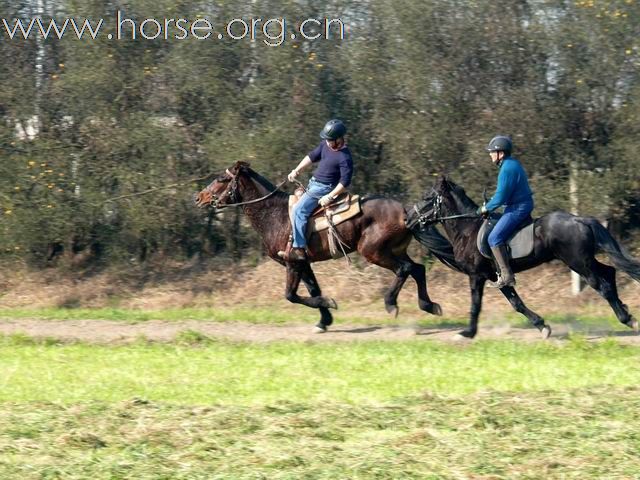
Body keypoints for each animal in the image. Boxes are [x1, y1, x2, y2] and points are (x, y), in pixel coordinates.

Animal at [195, 160, 450, 330]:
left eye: (222, 179)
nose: (198, 198)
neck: (275, 215)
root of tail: (405, 212)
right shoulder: (302, 263)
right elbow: (312, 290)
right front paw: (324, 320)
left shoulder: (292, 263)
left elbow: (291, 295)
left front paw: (329, 304)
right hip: (395, 250)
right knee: (417, 269)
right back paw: (429, 305)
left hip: (374, 251)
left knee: (404, 269)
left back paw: (391, 304)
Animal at [416, 175, 640, 338]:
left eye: (427, 197)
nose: (415, 218)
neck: (467, 229)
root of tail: (579, 219)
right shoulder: (495, 277)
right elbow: (517, 303)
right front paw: (542, 326)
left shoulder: (476, 276)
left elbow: (475, 305)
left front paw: (467, 333)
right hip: (585, 261)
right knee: (609, 272)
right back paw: (625, 310)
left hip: (579, 263)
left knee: (602, 285)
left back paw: (627, 319)